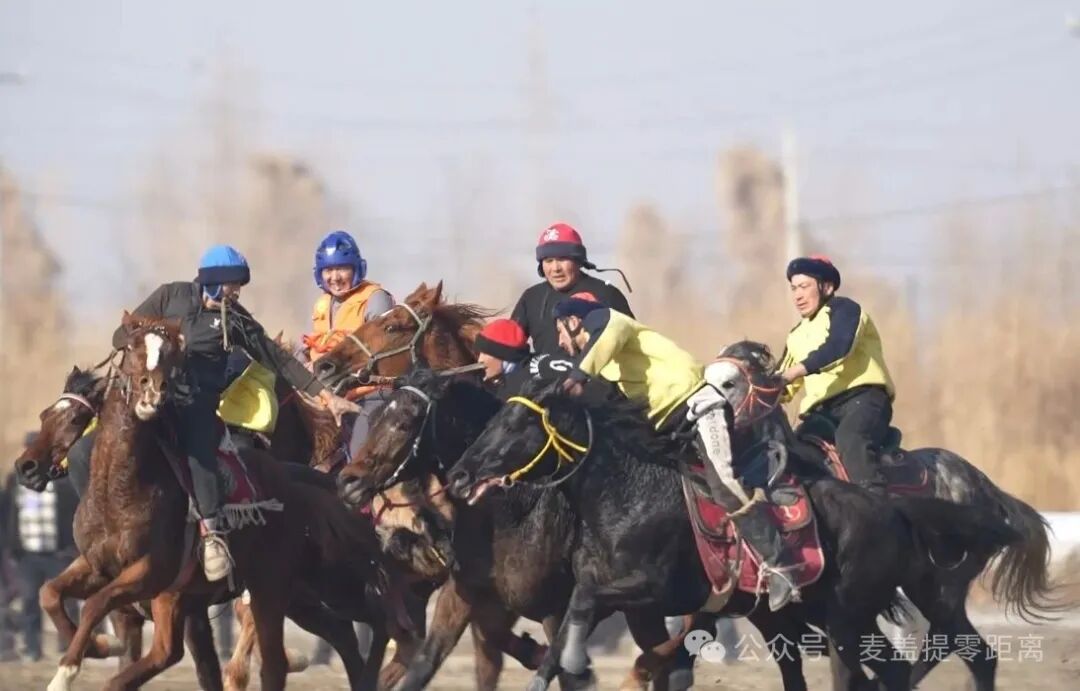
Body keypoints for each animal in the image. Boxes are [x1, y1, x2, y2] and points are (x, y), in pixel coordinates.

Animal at [40, 313, 416, 691]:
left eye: (171, 356)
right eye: (132, 348)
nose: (152, 392)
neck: (121, 492)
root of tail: (300, 480)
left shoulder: (153, 574)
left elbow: (97, 606)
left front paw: (67, 670)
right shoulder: (98, 566)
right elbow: (51, 593)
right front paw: (96, 647)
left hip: (287, 584)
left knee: (346, 634)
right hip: (308, 588)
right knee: (348, 633)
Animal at [445, 379, 1022, 691]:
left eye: (517, 424)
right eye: (494, 418)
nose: (460, 475)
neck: (626, 493)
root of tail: (892, 507)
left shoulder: (654, 590)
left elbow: (596, 612)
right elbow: (572, 620)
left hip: (853, 612)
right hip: (830, 612)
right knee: (900, 668)